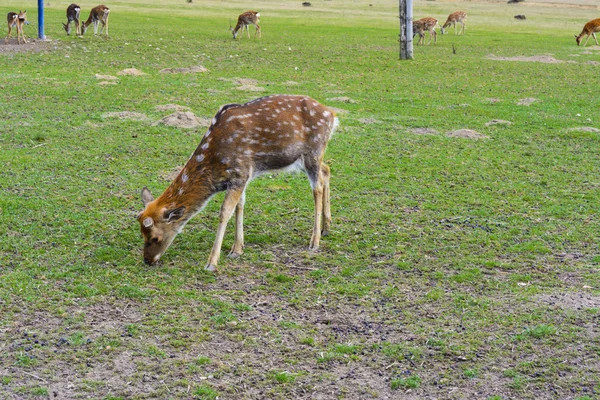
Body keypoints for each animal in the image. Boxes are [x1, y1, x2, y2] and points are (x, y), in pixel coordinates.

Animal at [138, 95, 340, 272]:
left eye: (155, 238)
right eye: (141, 234)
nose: (147, 260)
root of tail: (332, 114)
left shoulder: (240, 173)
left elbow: (225, 212)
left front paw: (212, 262)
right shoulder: (241, 178)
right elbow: (240, 206)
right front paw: (237, 249)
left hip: (314, 151)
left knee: (317, 188)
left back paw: (314, 241)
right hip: (306, 158)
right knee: (326, 170)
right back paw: (327, 228)